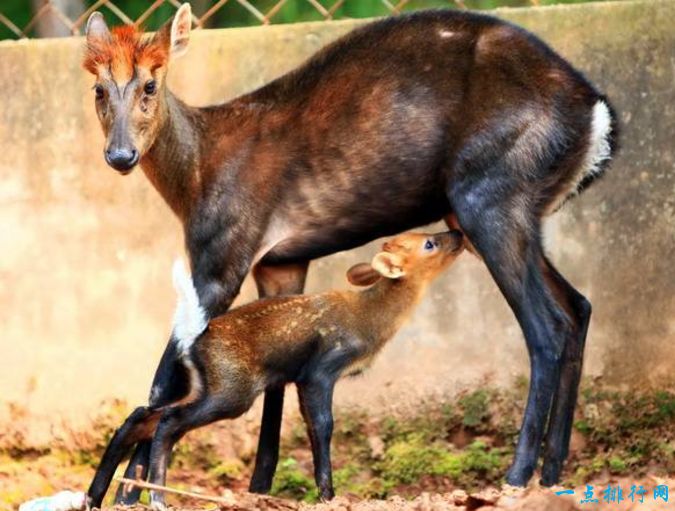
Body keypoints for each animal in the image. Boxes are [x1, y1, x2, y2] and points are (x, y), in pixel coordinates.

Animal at [83, 4, 616, 500]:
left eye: (150, 85)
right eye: (98, 90)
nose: (121, 155)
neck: (199, 170)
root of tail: (596, 115)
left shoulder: (221, 257)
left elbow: (164, 375)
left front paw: (129, 492)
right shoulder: (280, 262)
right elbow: (274, 374)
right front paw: (260, 486)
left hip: (489, 198)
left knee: (546, 328)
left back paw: (517, 474)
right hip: (506, 213)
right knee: (578, 307)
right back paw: (553, 472)